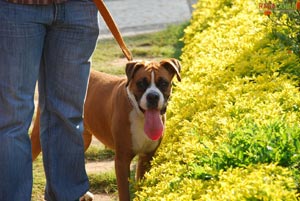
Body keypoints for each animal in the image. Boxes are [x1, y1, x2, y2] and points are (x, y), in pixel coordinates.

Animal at [29, 57, 180, 199]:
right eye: (141, 83)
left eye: (163, 83)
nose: (153, 96)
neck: (140, 116)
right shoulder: (122, 161)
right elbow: (124, 193)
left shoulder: (147, 158)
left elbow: (141, 187)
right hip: (38, 138)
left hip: (82, 139)